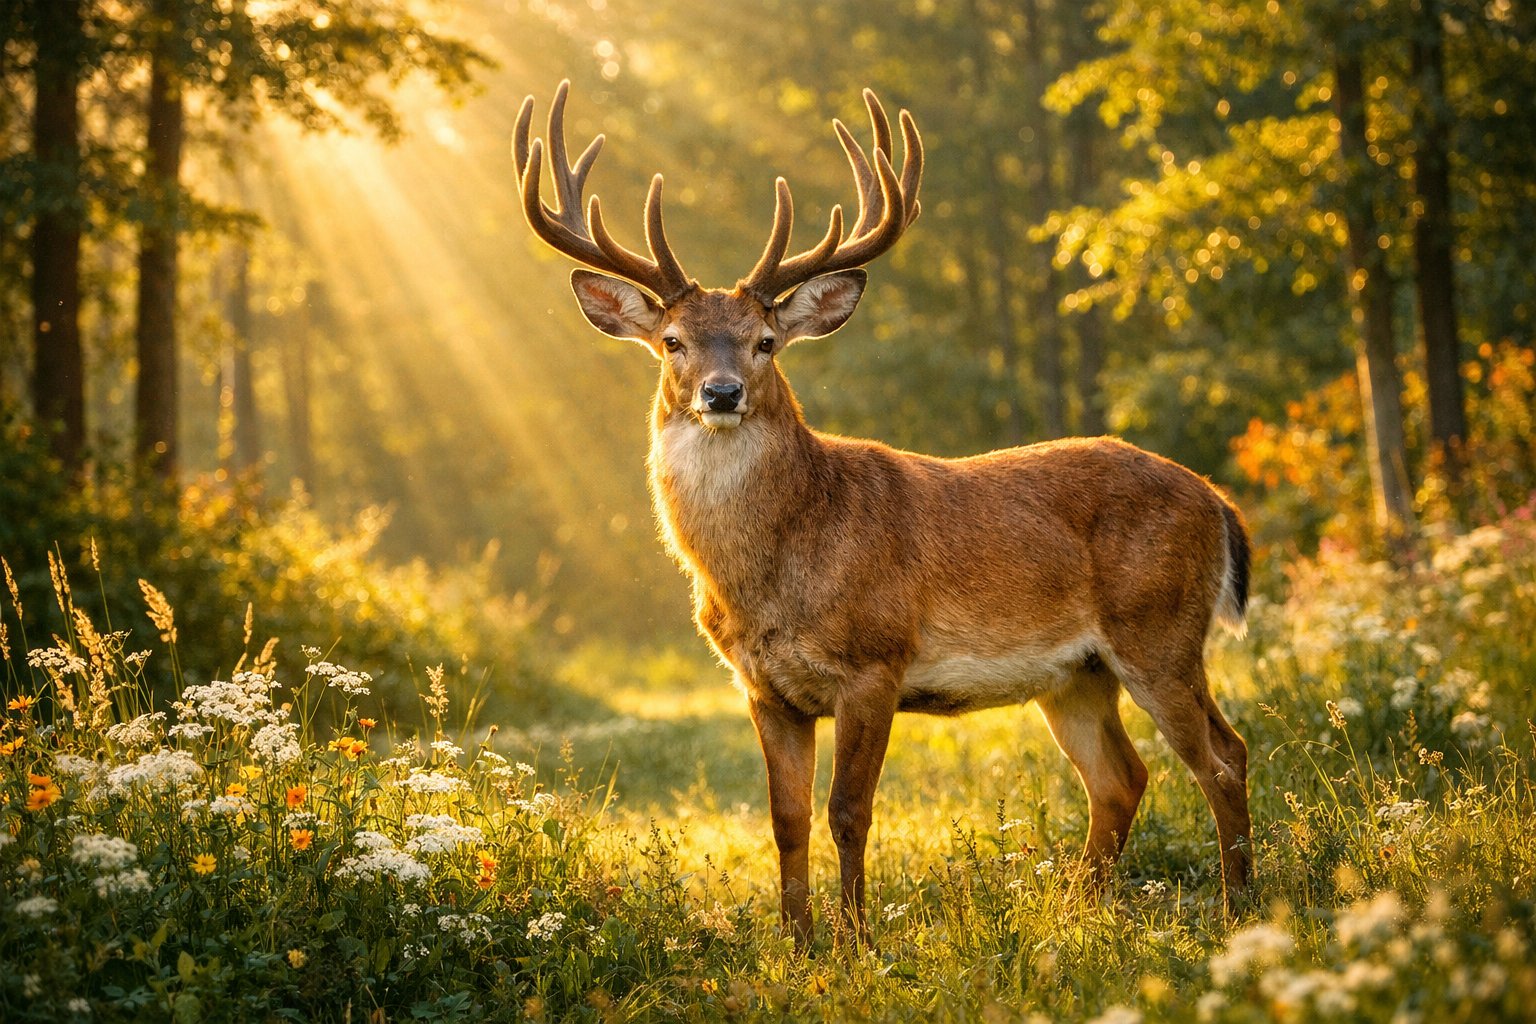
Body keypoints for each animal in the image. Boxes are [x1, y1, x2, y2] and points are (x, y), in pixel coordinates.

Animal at [512, 81, 1253, 945]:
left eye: (766, 341)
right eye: (671, 341)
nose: (721, 393)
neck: (775, 573)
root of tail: (1215, 499)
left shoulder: (876, 660)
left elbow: (849, 813)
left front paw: (857, 942)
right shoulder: (764, 687)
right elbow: (785, 819)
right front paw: (796, 943)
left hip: (1160, 629)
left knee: (1222, 757)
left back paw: (1240, 905)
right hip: (1076, 673)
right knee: (1122, 776)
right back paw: (1081, 912)